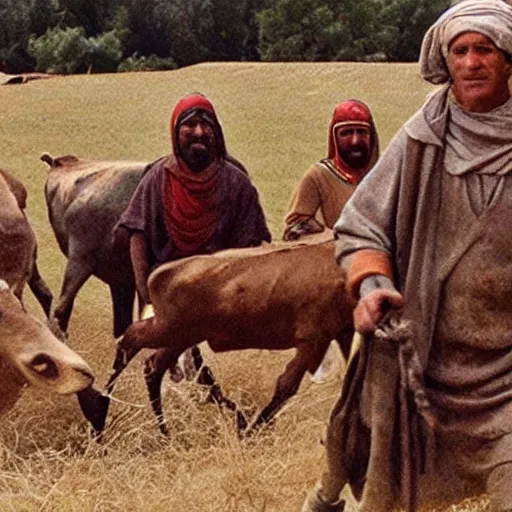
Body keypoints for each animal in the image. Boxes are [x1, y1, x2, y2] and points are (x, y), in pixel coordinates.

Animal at [92, 239, 354, 436]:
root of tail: (160, 273)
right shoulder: (313, 340)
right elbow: (285, 387)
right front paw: (253, 431)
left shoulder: (344, 334)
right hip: (168, 330)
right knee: (130, 340)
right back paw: (101, 413)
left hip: (181, 338)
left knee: (153, 367)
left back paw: (164, 431)